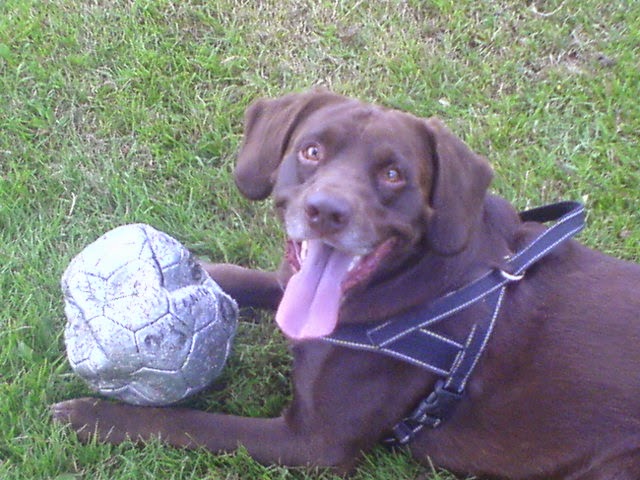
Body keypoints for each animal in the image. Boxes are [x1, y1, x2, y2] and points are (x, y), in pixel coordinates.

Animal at [52, 90, 640, 479]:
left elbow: (192, 423)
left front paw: (93, 416)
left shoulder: (314, 443)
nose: (327, 211)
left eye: (394, 175)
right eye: (311, 151)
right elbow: (237, 277)